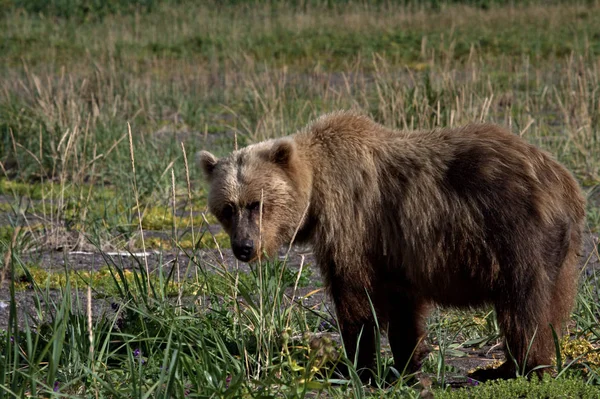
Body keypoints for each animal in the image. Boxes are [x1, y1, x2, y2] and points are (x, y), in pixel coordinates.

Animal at [199, 111, 584, 382]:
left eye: (256, 204)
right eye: (227, 208)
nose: (244, 247)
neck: (318, 195)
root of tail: (564, 181)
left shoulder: (353, 224)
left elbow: (355, 299)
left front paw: (358, 366)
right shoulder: (395, 248)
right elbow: (403, 308)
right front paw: (408, 363)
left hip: (515, 231)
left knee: (523, 303)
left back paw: (516, 367)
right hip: (562, 253)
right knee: (552, 303)